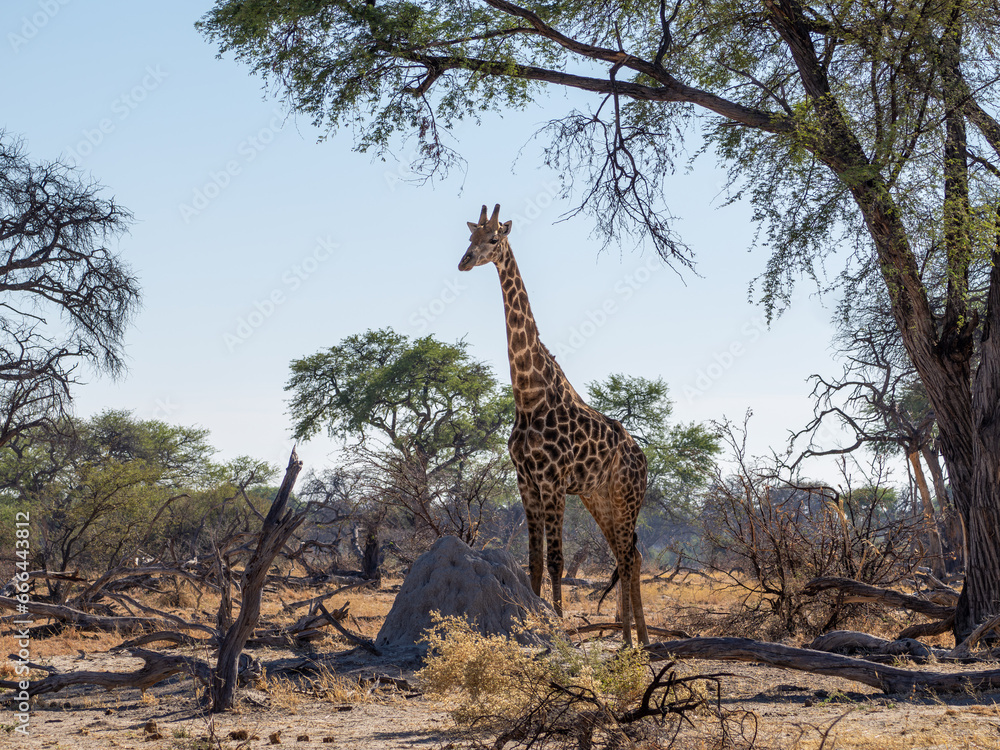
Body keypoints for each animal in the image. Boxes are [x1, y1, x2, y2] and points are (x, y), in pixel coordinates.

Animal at [458, 204, 650, 647]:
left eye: (494, 238)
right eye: (469, 237)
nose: (464, 261)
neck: (529, 396)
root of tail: (644, 458)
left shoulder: (553, 480)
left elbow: (557, 560)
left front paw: (559, 628)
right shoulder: (526, 480)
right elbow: (533, 561)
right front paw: (536, 623)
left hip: (626, 496)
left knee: (629, 555)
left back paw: (637, 641)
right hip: (600, 498)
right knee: (628, 554)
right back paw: (635, 640)